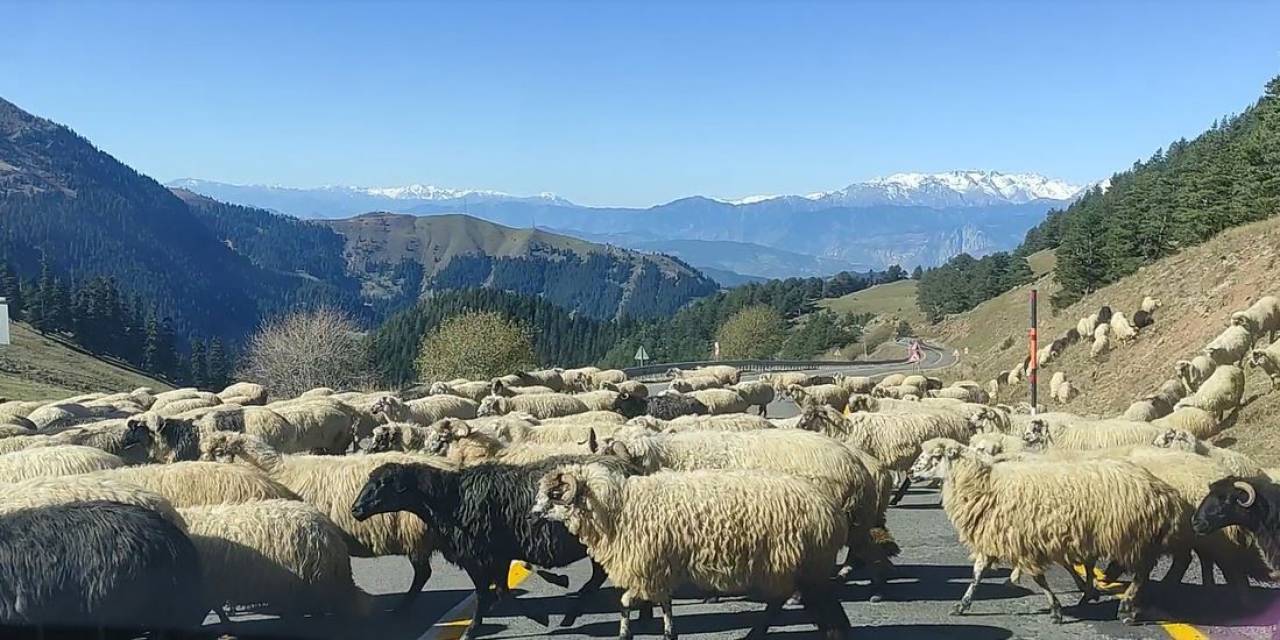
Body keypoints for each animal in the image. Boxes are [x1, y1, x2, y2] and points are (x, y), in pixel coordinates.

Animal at [353, 455, 627, 640]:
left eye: (384, 483)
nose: (356, 510)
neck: (451, 498)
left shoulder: (485, 556)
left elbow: (491, 593)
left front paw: (474, 629)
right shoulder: (491, 557)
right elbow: (497, 591)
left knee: (599, 577)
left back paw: (574, 613)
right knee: (598, 577)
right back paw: (574, 613)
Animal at [529, 463, 849, 640]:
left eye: (554, 494)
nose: (531, 516)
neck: (619, 508)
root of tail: (829, 510)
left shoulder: (647, 565)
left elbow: (626, 601)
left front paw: (625, 634)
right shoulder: (660, 565)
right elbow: (664, 603)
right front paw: (670, 633)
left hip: (794, 561)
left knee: (797, 602)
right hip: (799, 563)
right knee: (805, 600)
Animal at [911, 437, 1187, 622]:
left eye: (935, 456)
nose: (912, 472)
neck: (986, 485)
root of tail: (1162, 491)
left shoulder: (1023, 542)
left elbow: (1038, 578)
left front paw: (1056, 609)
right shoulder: (997, 538)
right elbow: (977, 574)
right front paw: (962, 605)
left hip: (1131, 536)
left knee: (1141, 572)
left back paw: (1127, 606)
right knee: (1140, 570)